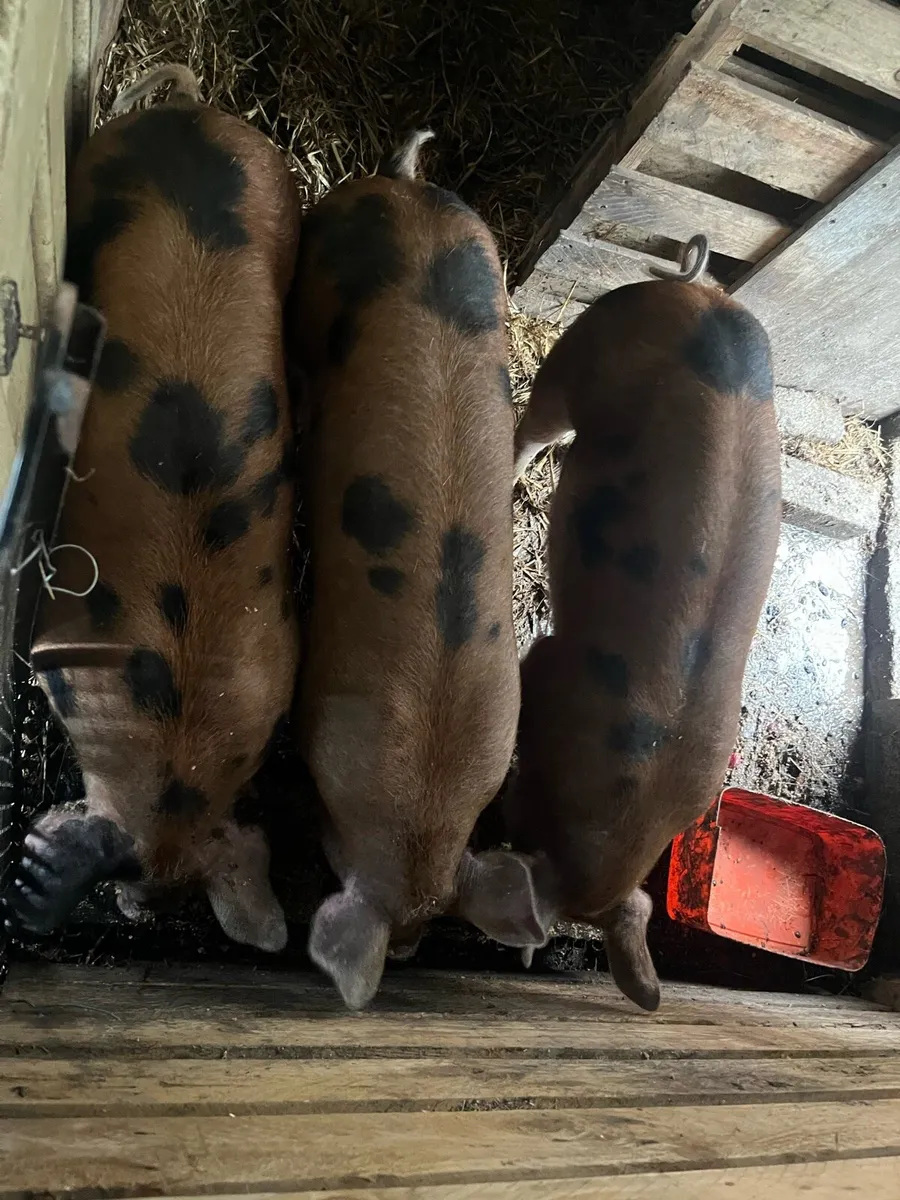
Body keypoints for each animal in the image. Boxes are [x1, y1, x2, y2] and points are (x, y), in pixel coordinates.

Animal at [2, 65, 301, 950]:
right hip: (99, 167)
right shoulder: (56, 639)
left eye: (175, 889)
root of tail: (192, 114)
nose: (137, 909)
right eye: (128, 880)